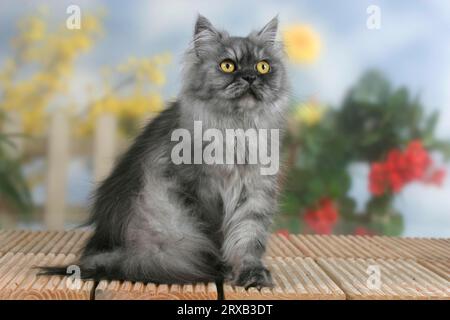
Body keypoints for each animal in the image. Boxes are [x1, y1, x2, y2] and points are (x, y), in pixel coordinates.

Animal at [40, 15, 290, 290]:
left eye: (263, 66)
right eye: (227, 65)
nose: (250, 77)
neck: (237, 130)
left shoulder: (255, 192)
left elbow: (249, 238)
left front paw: (252, 274)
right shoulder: (198, 191)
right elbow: (215, 237)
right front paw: (221, 269)